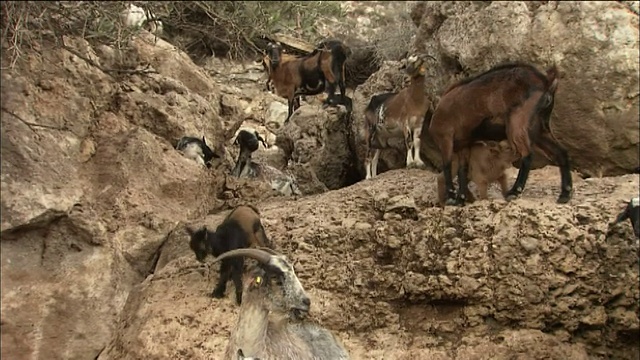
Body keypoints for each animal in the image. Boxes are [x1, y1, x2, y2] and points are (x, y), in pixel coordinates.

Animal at [428, 63, 568, 207]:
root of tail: (546, 83)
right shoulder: (463, 145)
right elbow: (463, 170)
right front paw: (460, 199)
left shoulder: (445, 138)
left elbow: (447, 165)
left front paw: (451, 197)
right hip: (538, 128)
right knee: (561, 152)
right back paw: (564, 195)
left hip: (517, 122)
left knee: (527, 154)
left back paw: (514, 192)